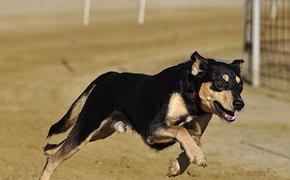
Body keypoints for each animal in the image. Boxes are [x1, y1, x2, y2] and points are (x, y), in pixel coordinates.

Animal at [40, 51, 245, 179]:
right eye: (219, 82)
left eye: (240, 85)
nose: (240, 104)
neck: (191, 97)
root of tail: (111, 75)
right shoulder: (153, 130)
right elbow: (181, 131)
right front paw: (198, 157)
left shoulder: (195, 132)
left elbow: (191, 141)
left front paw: (177, 166)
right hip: (88, 125)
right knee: (53, 160)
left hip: (99, 132)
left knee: (55, 149)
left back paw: (49, 149)